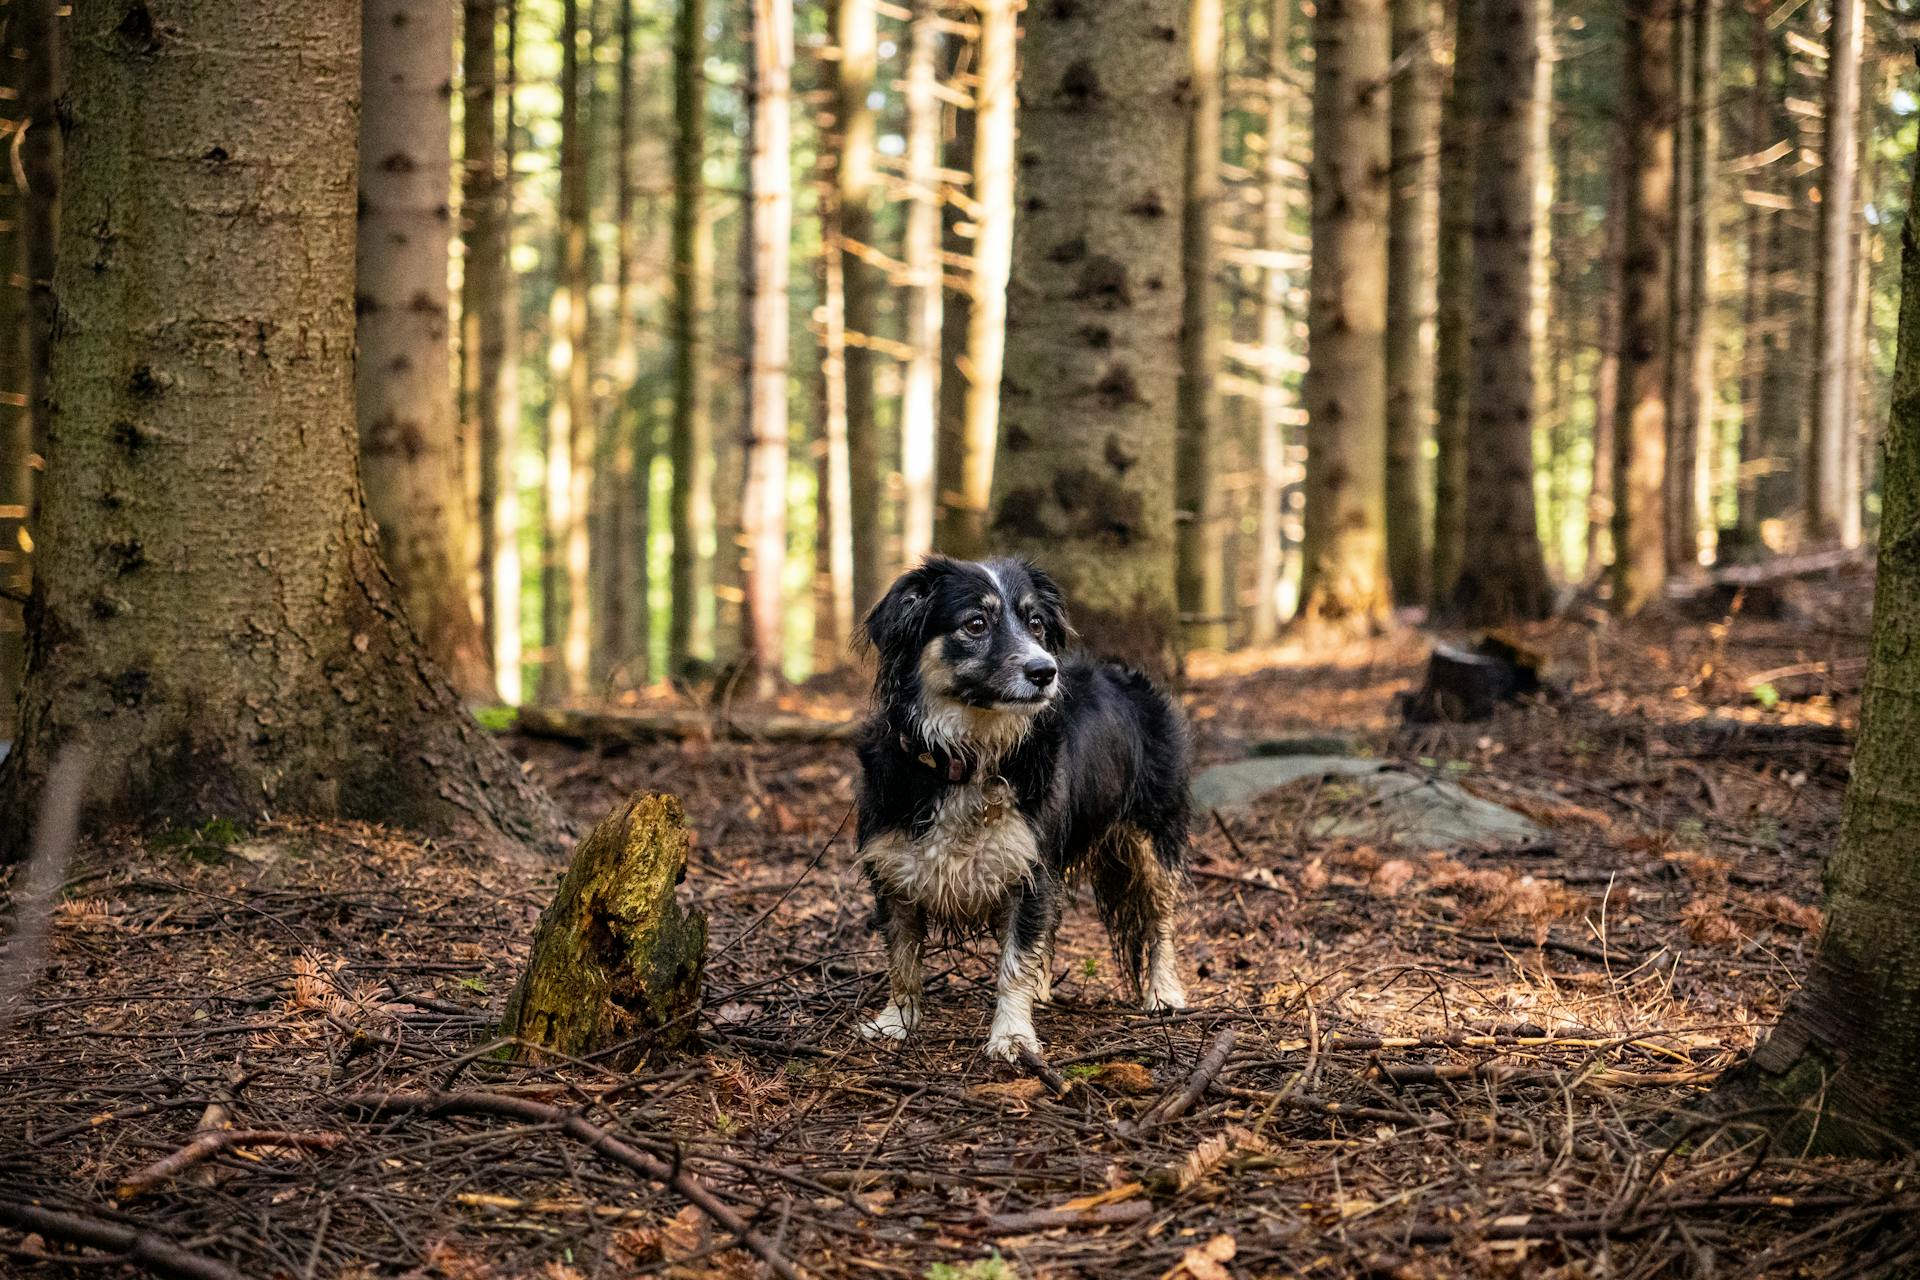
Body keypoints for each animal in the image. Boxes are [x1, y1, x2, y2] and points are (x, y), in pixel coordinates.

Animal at [852, 556, 1182, 1059]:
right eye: (975, 623)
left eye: (1036, 623)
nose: (1045, 671)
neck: (969, 756)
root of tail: (1130, 675)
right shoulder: (893, 870)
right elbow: (902, 961)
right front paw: (896, 1023)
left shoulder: (1030, 869)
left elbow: (1014, 961)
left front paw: (1011, 1035)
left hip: (1151, 837)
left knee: (1160, 919)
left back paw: (1164, 993)